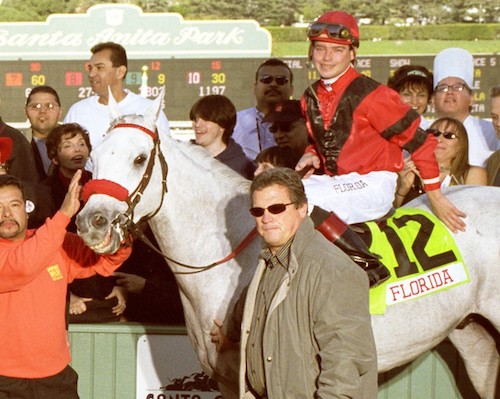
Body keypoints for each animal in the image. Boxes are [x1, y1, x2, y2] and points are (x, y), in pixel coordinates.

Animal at [76, 94, 498, 399]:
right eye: (93, 157)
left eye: (139, 158)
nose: (91, 222)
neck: (232, 249)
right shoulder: (226, 379)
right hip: (474, 338)